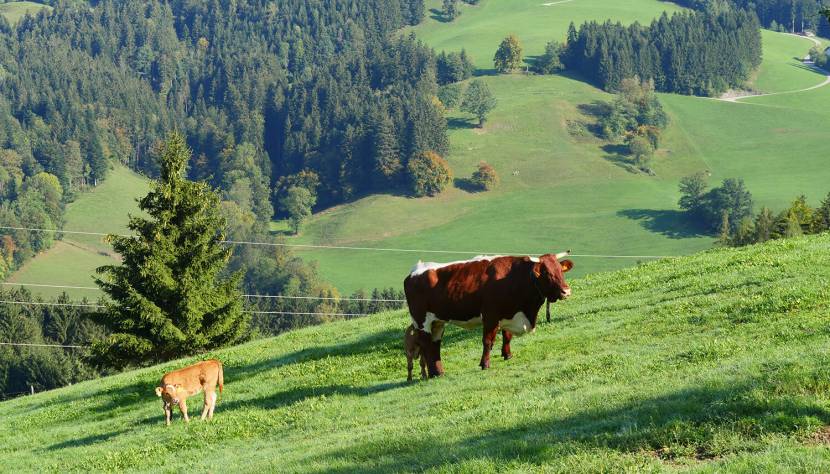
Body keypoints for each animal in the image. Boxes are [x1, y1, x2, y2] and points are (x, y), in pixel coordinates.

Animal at [406, 252, 576, 378]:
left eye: (560, 270)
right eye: (546, 273)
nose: (566, 291)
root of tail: (415, 270)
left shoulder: (508, 313)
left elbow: (507, 336)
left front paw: (508, 355)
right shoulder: (490, 315)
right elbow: (487, 341)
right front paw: (485, 364)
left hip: (437, 322)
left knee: (435, 345)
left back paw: (438, 372)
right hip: (422, 321)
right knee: (426, 346)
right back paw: (433, 373)